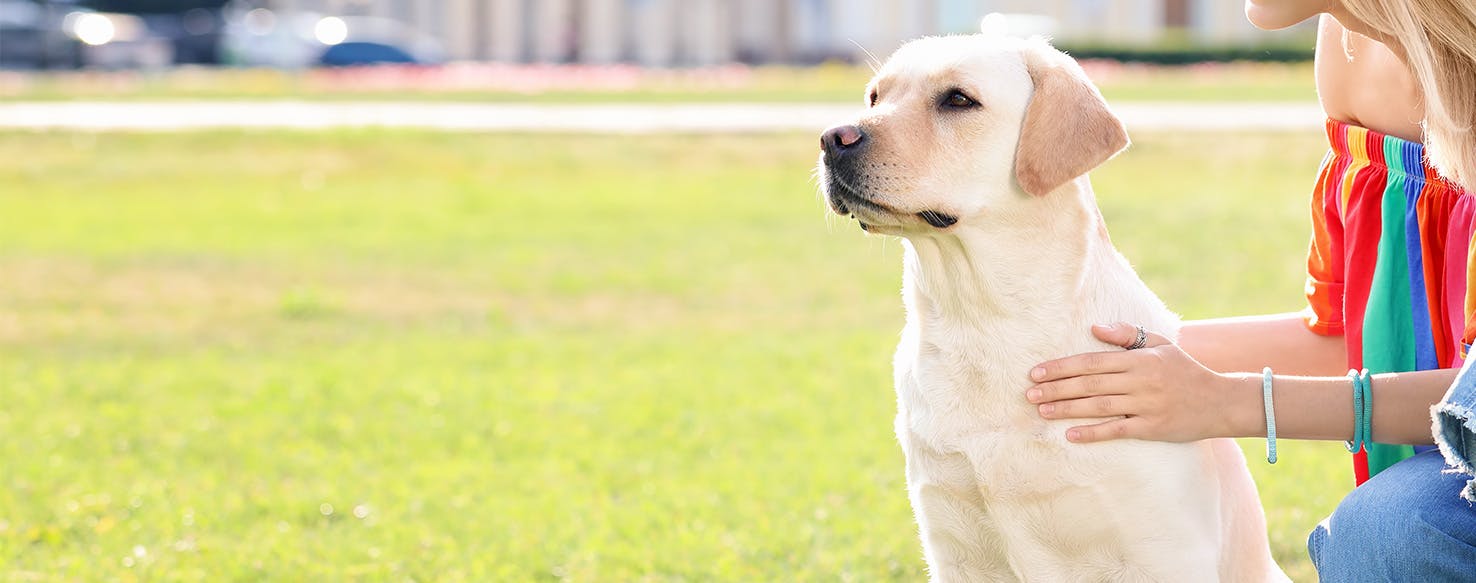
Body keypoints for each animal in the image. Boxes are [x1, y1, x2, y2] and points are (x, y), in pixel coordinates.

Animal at [826, 34, 1287, 581]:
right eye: (876, 96)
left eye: (958, 99)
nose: (831, 138)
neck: (985, 321)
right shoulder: (953, 545)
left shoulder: (1164, 547)